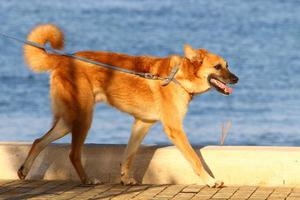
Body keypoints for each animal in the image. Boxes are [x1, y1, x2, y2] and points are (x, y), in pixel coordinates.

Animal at [18, 23, 239, 188]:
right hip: (83, 118)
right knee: (73, 154)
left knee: (39, 141)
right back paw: (87, 180)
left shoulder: (141, 124)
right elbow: (194, 158)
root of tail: (62, 60)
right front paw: (210, 181)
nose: (236, 79)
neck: (178, 77)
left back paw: (24, 170)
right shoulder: (174, 128)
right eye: (217, 67)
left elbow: (129, 154)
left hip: (68, 120)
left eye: (228, 65)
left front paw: (125, 178)